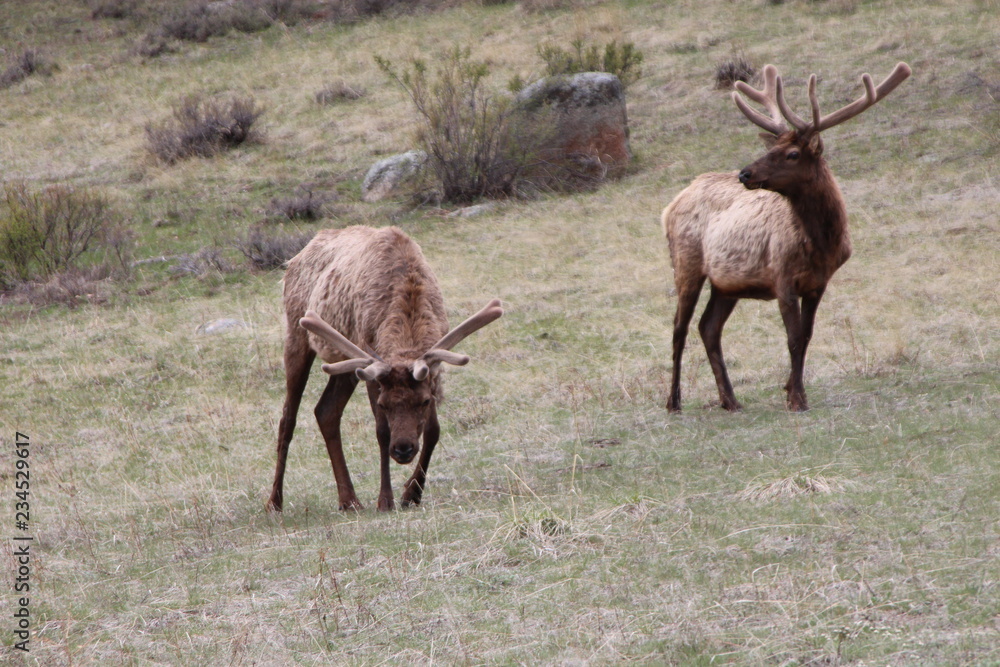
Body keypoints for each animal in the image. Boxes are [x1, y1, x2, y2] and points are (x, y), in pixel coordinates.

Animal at [266, 225, 503, 513]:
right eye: (384, 404)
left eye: (424, 401)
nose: (403, 449)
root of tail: (294, 260)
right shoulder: (372, 372)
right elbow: (381, 432)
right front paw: (385, 500)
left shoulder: (431, 370)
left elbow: (433, 431)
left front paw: (412, 493)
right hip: (297, 335)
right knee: (287, 419)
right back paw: (274, 501)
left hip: (346, 363)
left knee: (326, 410)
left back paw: (349, 500)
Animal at [661, 62, 911, 413]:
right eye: (771, 148)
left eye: (792, 154)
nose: (745, 173)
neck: (822, 244)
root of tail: (671, 204)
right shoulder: (781, 277)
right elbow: (792, 338)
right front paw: (796, 399)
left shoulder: (819, 283)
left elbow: (805, 337)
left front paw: (793, 390)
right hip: (686, 263)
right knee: (678, 328)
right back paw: (674, 402)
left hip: (727, 283)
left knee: (708, 327)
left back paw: (730, 400)